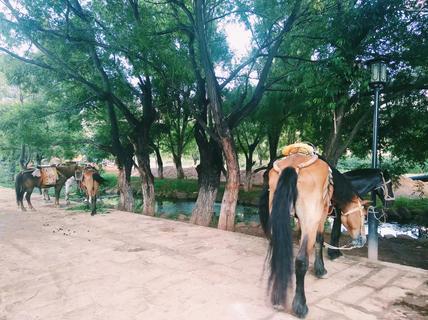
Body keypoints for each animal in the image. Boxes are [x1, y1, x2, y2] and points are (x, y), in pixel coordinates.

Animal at [258, 152, 368, 318]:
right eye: (364, 217)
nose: (363, 239)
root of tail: (293, 167)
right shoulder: (321, 215)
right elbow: (319, 240)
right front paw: (320, 269)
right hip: (310, 219)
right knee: (301, 260)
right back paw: (300, 306)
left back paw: (277, 297)